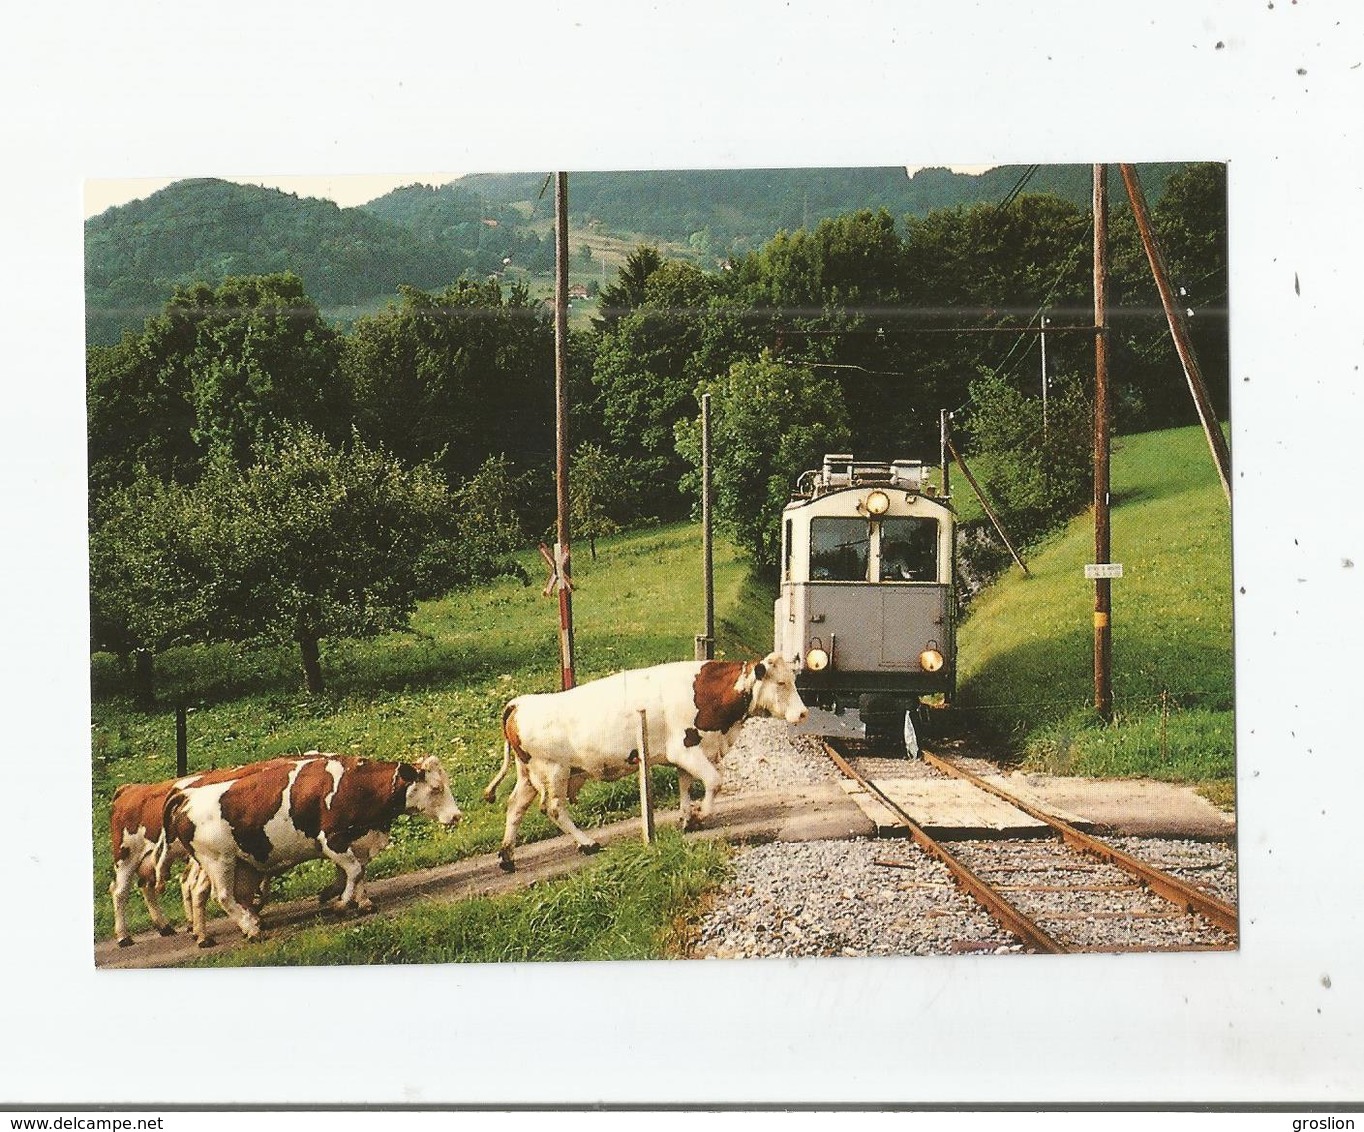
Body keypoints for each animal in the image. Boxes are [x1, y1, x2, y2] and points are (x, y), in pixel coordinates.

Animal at [163, 752, 463, 949]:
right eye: (436, 788)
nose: (456, 816)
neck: (355, 785)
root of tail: (187, 795)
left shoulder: (360, 841)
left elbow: (358, 872)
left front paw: (362, 901)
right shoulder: (332, 840)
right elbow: (354, 870)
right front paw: (342, 903)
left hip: (236, 863)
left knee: (219, 892)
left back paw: (221, 929)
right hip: (217, 860)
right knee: (220, 896)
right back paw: (247, 930)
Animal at [482, 651, 802, 872]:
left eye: (793, 680)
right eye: (782, 683)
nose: (803, 713)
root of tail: (521, 702)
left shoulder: (689, 753)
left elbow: (686, 786)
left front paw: (688, 819)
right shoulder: (685, 749)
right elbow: (713, 781)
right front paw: (700, 815)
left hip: (529, 774)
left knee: (515, 807)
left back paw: (507, 857)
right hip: (552, 771)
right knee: (553, 808)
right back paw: (587, 843)